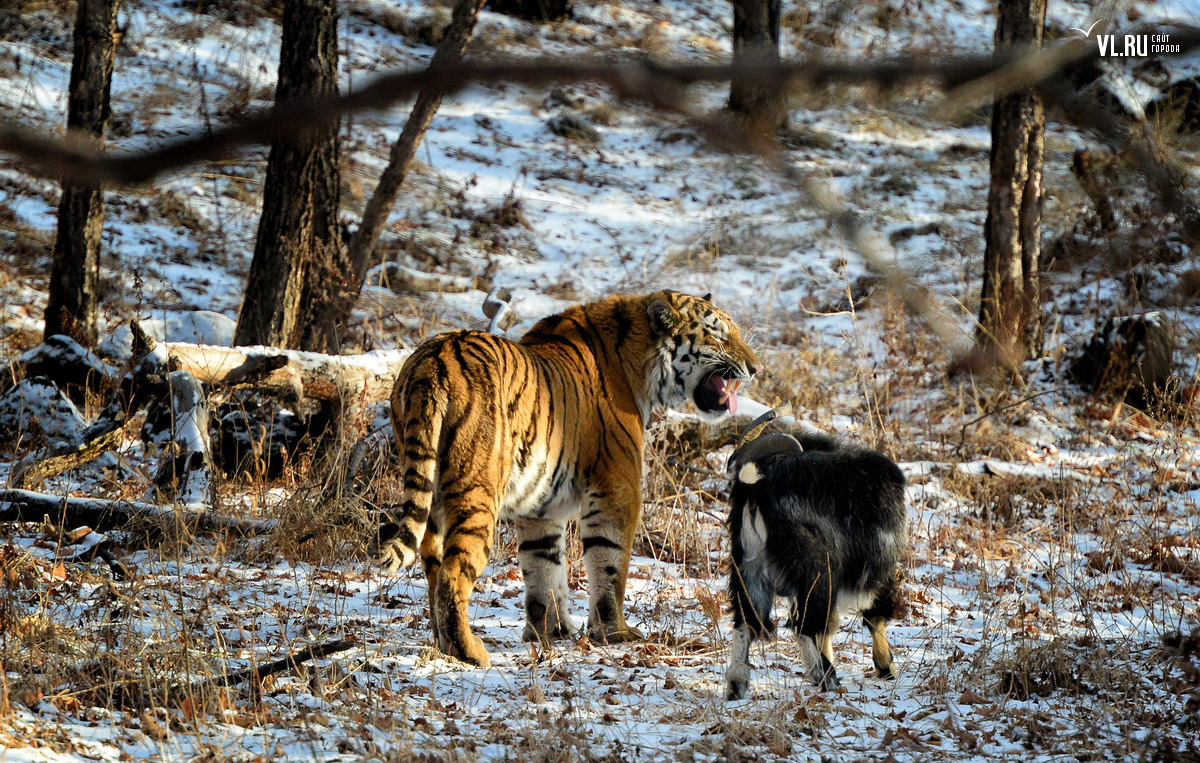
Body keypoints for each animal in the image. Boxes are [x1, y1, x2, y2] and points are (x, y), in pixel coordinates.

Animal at [369, 289, 758, 667]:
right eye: (718, 333)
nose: (754, 368)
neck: (640, 362)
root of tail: (431, 360)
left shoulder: (541, 506)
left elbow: (543, 568)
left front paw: (549, 632)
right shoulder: (617, 488)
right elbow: (610, 564)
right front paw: (614, 632)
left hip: (430, 490)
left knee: (433, 567)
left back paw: (442, 643)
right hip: (476, 491)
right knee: (453, 573)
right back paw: (469, 652)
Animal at [720, 427, 907, 700]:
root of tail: (756, 484)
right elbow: (874, 613)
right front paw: (886, 667)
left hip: (748, 566)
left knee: (746, 621)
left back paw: (736, 684)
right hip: (815, 571)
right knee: (803, 625)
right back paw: (828, 679)